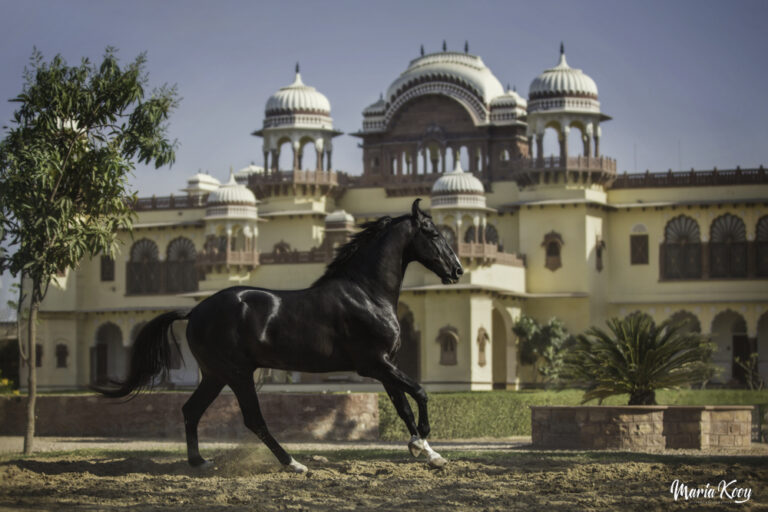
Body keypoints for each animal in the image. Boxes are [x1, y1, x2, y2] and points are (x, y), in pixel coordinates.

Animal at [94, 198, 463, 473]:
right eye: (432, 233)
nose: (457, 270)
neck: (366, 293)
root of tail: (195, 311)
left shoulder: (386, 366)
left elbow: (404, 406)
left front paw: (429, 453)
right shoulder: (375, 364)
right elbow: (420, 392)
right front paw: (422, 443)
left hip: (215, 375)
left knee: (191, 410)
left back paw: (200, 462)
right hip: (237, 374)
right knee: (253, 420)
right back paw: (294, 464)